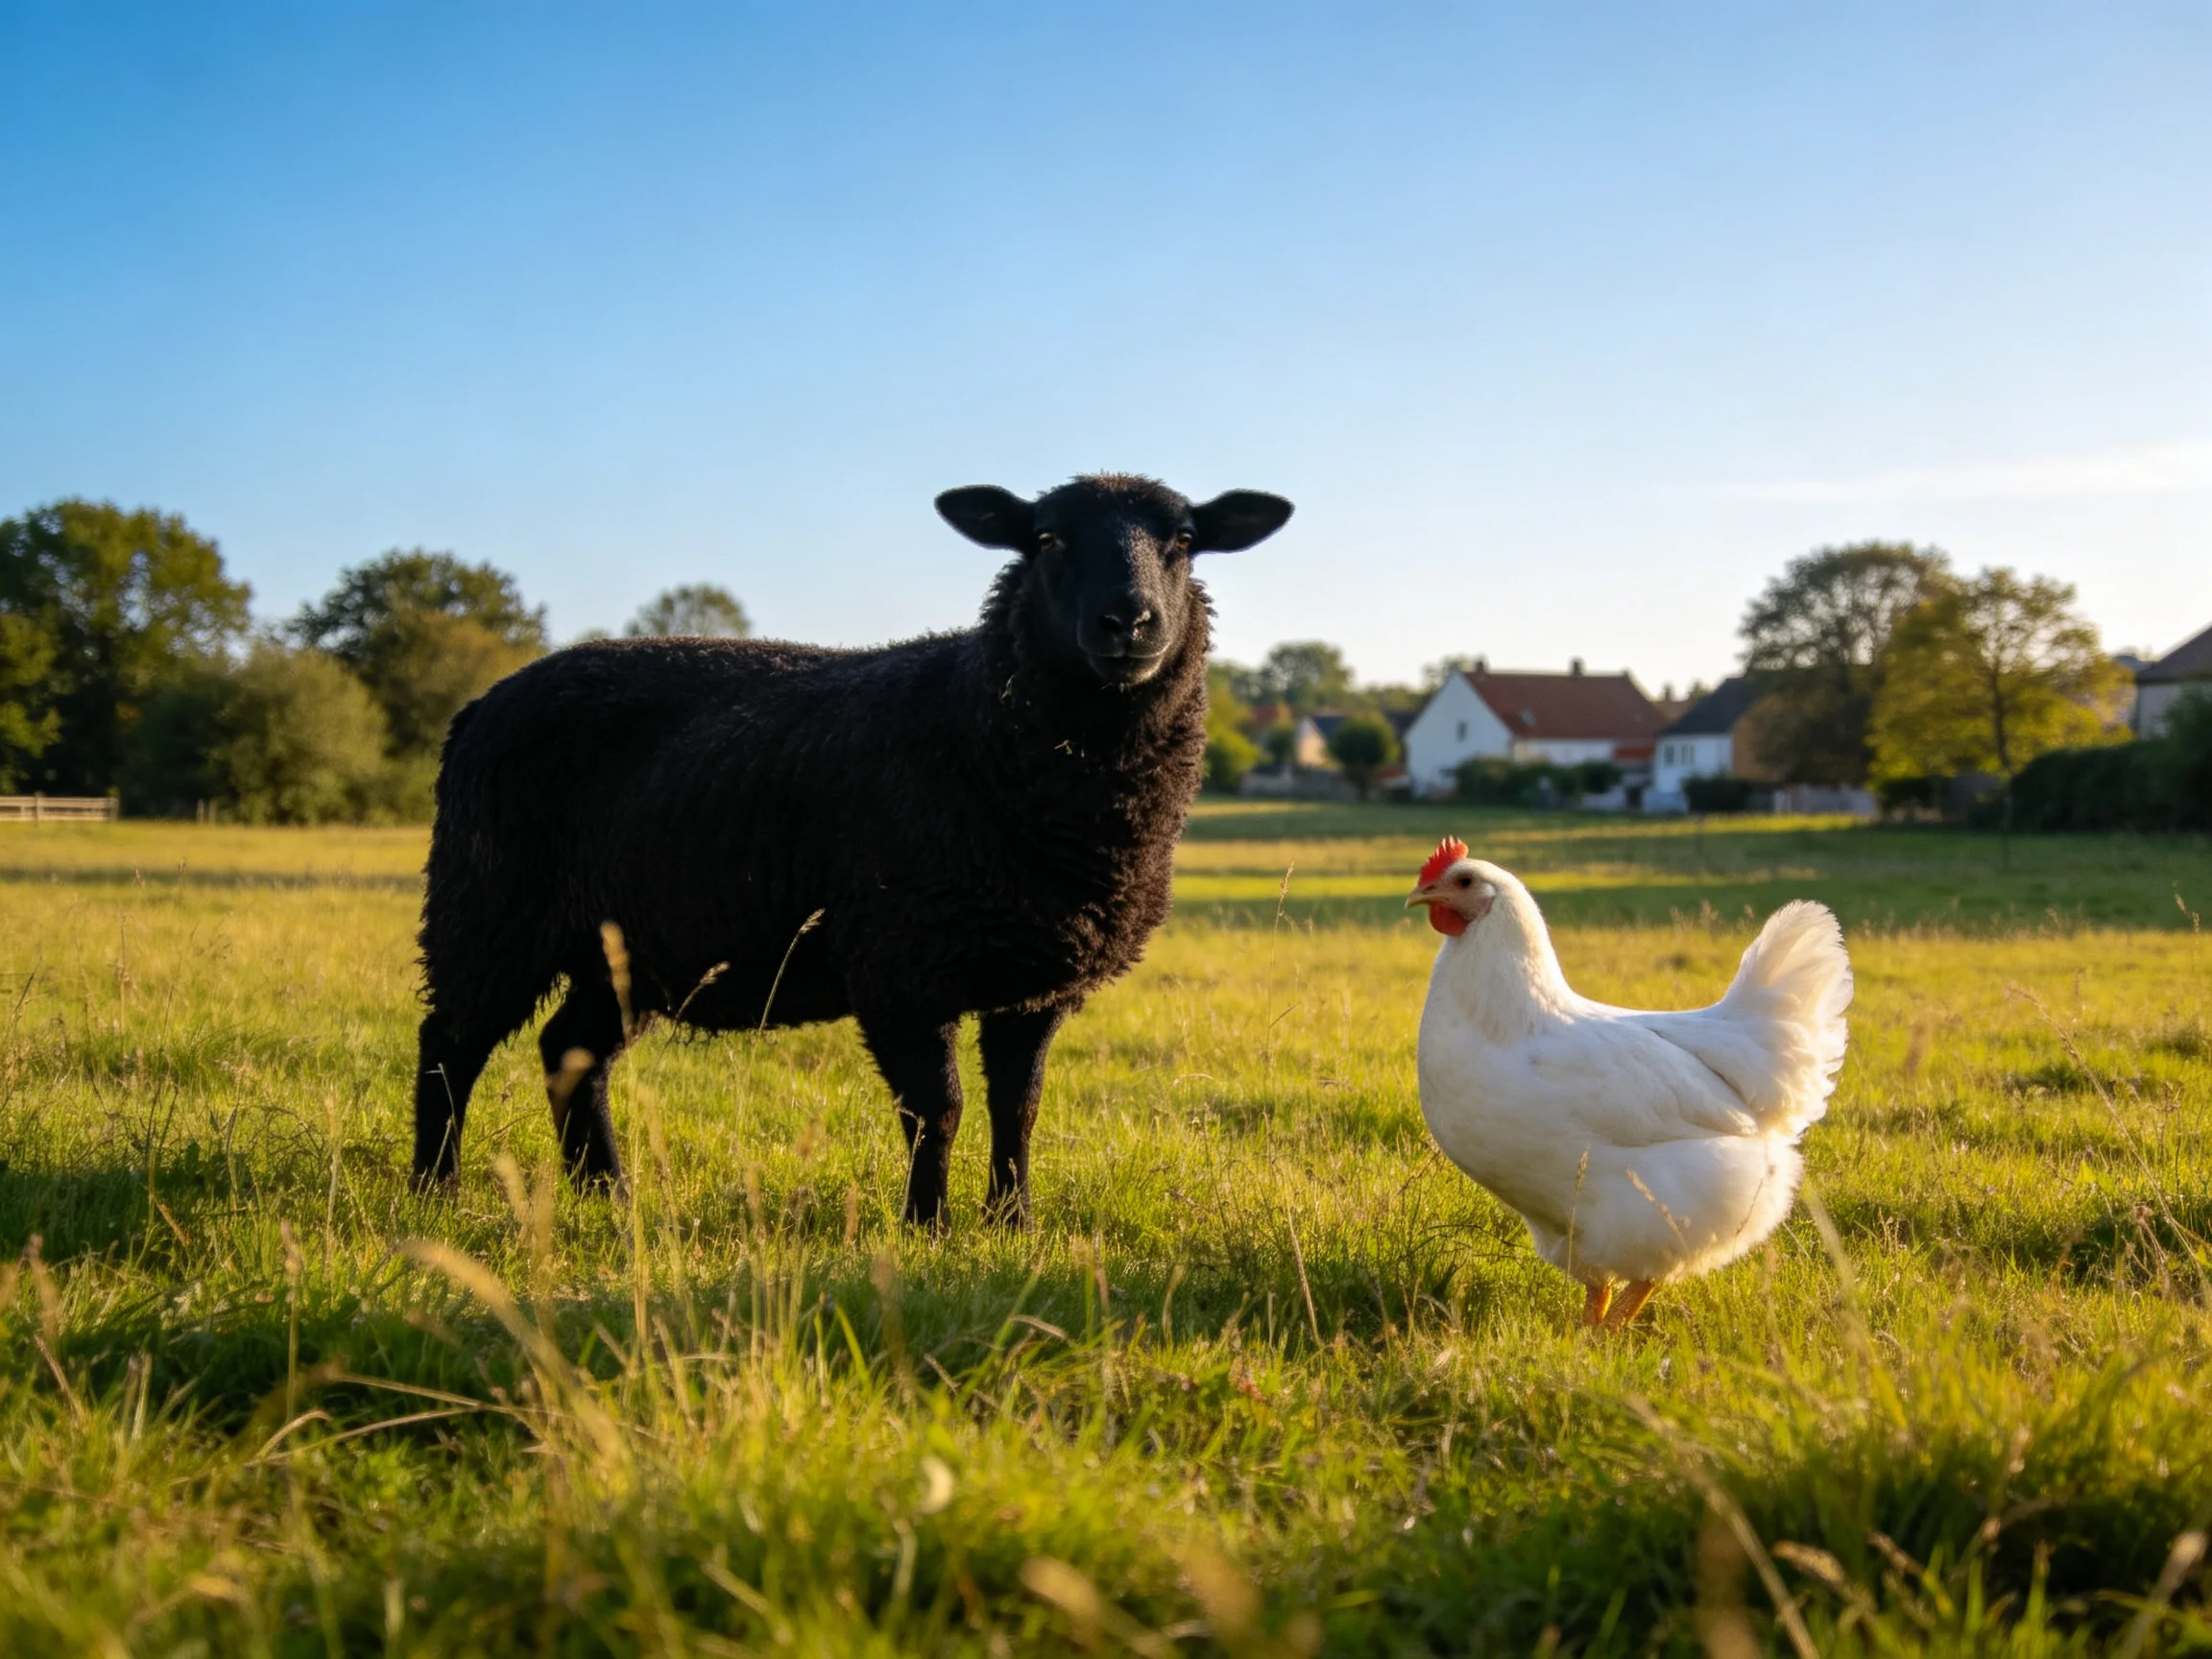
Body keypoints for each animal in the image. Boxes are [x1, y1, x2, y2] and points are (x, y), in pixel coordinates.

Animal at [409, 473, 1293, 1226]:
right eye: (1046, 539)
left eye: (1184, 539)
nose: (1129, 622)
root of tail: (478, 707)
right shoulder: (900, 963)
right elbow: (937, 1108)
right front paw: (928, 1227)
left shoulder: (1032, 982)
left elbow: (1019, 1107)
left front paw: (1014, 1223)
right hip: (487, 908)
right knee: (450, 1046)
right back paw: (435, 1192)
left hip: (620, 948)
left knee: (571, 1052)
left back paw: (608, 1196)